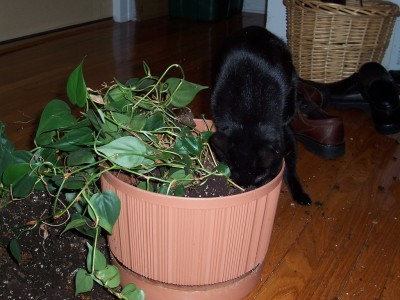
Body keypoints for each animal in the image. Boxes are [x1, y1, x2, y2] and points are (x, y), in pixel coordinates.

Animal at [209, 26, 312, 206]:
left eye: (260, 178)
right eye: (234, 177)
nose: (248, 189)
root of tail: (254, 29)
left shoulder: (285, 135)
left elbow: (290, 168)